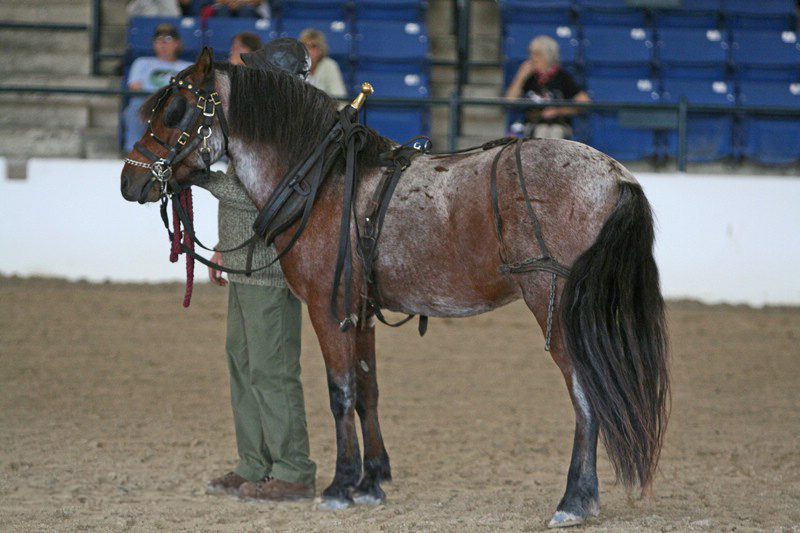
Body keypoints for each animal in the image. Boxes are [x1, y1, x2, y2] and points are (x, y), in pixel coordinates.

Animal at [120, 48, 669, 528]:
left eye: (175, 111)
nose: (129, 182)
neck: (323, 180)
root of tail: (616, 175)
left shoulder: (328, 308)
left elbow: (340, 392)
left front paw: (340, 486)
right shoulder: (360, 309)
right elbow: (368, 390)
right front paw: (371, 482)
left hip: (555, 306)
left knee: (585, 395)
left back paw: (575, 500)